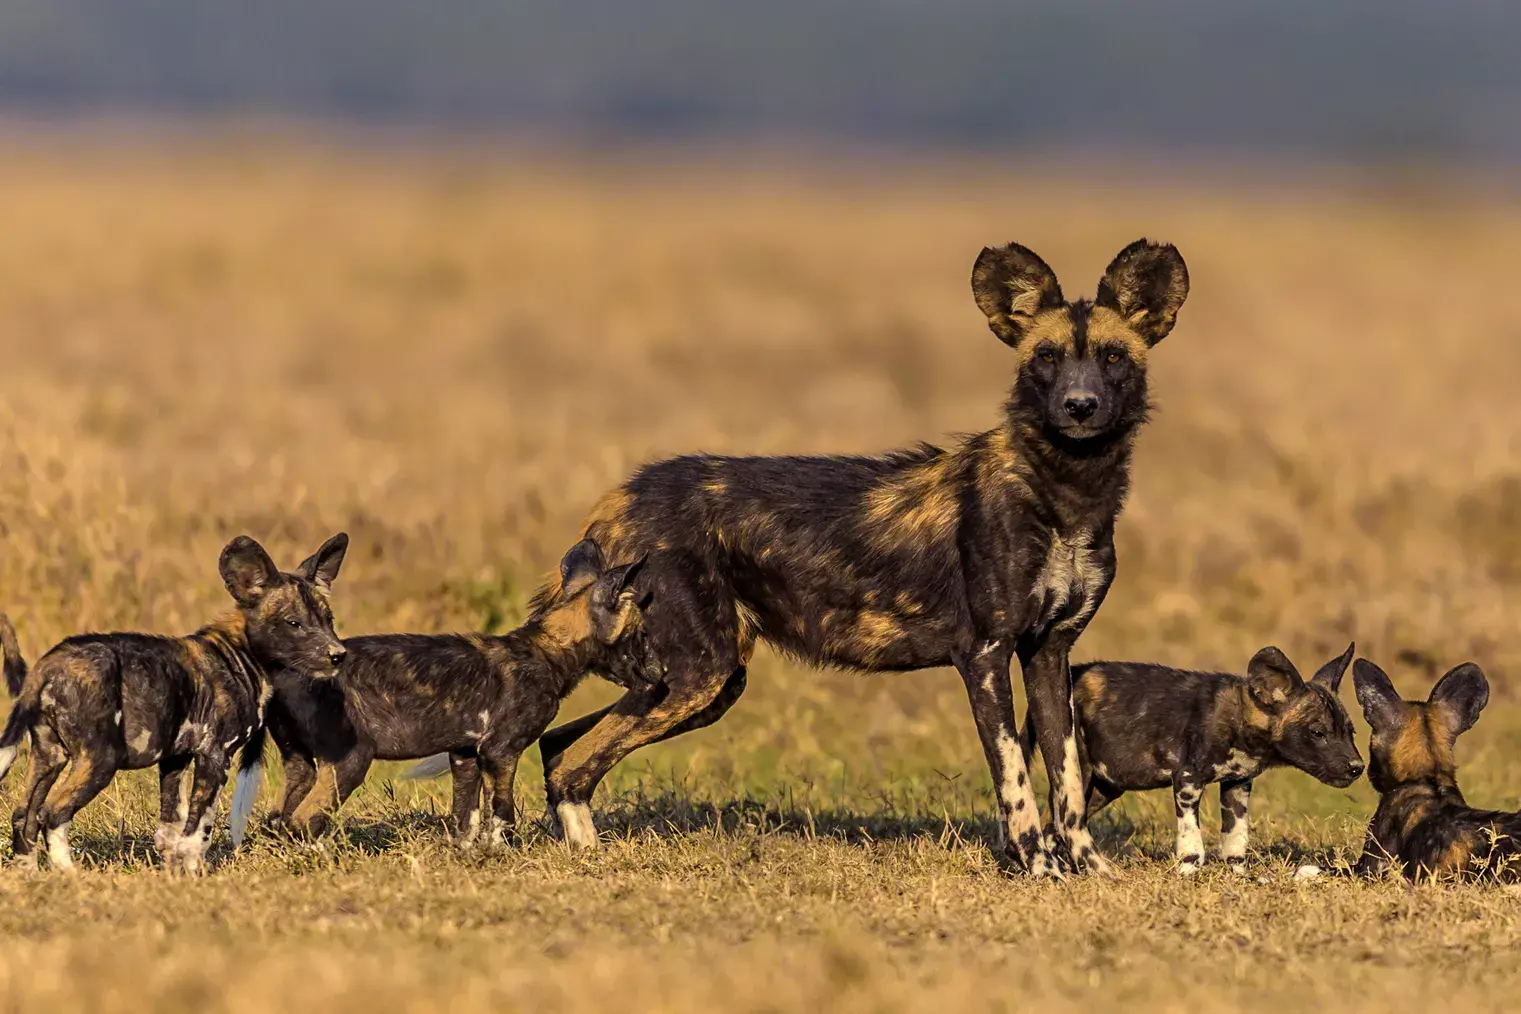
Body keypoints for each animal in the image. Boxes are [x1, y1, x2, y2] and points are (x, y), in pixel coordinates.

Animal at [0, 535, 346, 875]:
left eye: (329, 621)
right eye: (294, 623)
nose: (338, 655)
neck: (241, 654)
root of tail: (48, 664)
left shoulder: (175, 759)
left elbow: (170, 831)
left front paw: (173, 875)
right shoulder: (214, 757)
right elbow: (198, 832)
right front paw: (195, 875)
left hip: (49, 756)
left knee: (24, 816)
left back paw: (28, 874)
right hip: (98, 761)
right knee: (51, 814)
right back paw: (70, 874)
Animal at [240, 538, 657, 851]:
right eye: (642, 636)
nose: (662, 674)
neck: (545, 652)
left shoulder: (466, 754)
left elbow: (465, 818)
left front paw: (466, 853)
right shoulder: (500, 752)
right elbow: (502, 815)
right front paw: (500, 855)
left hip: (301, 765)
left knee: (279, 820)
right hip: (350, 763)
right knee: (302, 821)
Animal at [532, 238, 1186, 875]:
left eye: (1113, 358)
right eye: (1046, 357)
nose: (1080, 406)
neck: (1066, 493)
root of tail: (622, 496)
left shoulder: (1050, 654)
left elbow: (1067, 780)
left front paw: (1089, 870)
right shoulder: (985, 655)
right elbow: (1016, 780)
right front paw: (1038, 867)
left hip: (697, 683)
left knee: (559, 745)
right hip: (699, 674)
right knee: (574, 760)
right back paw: (588, 858)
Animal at [1028, 641, 1362, 875]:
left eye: (1351, 732)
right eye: (1318, 733)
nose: (1357, 768)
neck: (1241, 718)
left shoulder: (1237, 784)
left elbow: (1235, 840)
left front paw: (1240, 877)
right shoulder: (1187, 780)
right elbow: (1192, 841)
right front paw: (1188, 874)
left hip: (1104, 788)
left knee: (1052, 826)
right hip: (1078, 774)